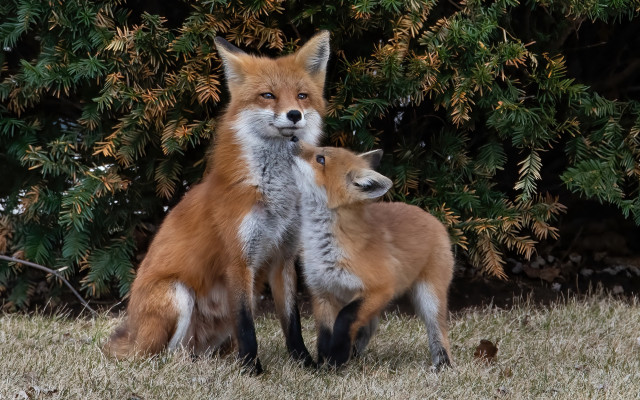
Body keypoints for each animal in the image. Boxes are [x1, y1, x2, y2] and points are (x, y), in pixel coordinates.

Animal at [102, 31, 331, 374]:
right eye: (268, 95)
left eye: (302, 96)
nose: (294, 115)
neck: (276, 196)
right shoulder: (238, 259)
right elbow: (247, 325)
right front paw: (252, 370)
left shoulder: (284, 258)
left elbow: (292, 324)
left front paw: (305, 364)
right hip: (177, 295)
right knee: (159, 357)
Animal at [292, 142, 454, 370]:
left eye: (320, 159)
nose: (292, 139)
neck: (325, 248)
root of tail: (431, 216)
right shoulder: (322, 291)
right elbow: (324, 332)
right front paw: (326, 362)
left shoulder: (381, 288)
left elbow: (345, 318)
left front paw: (336, 357)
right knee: (370, 326)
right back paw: (353, 354)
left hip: (430, 297)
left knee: (438, 329)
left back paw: (442, 363)